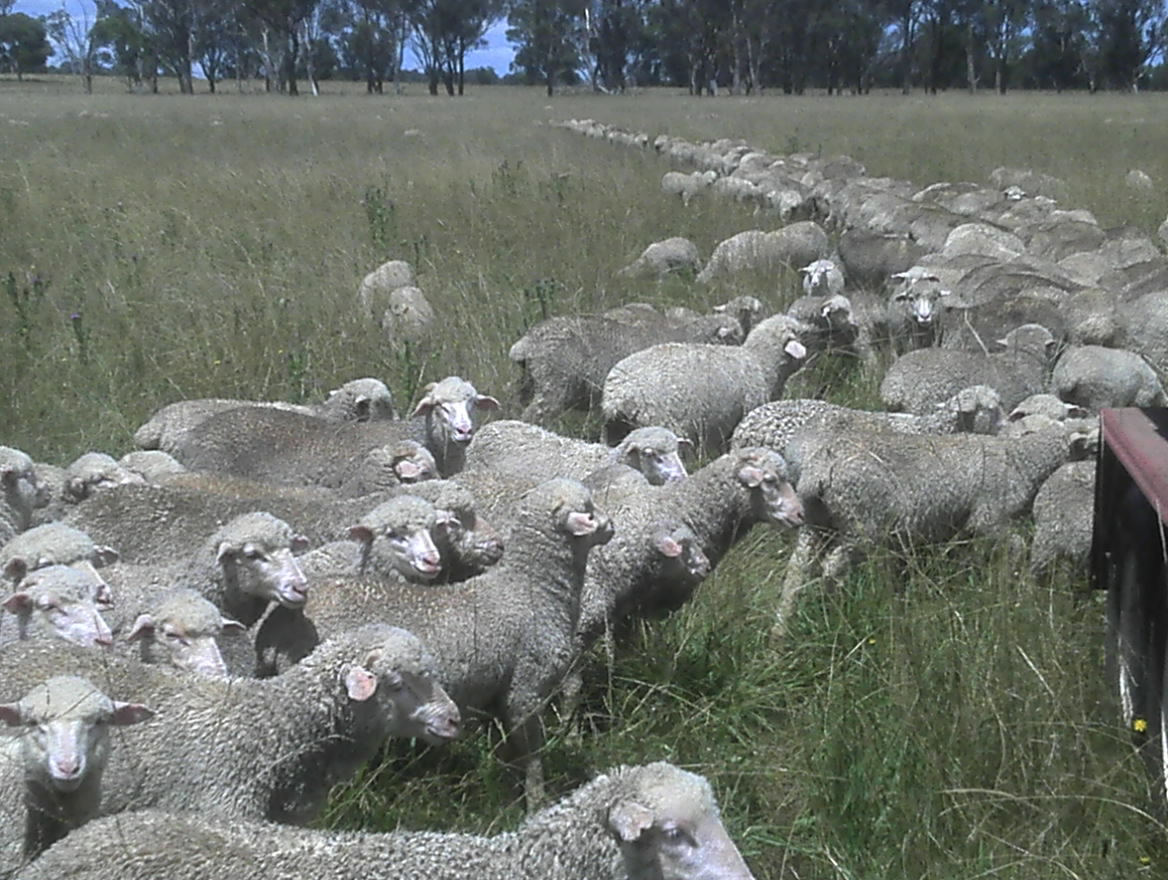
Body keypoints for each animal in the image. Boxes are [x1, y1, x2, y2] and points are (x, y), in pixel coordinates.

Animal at [256, 478, 613, 809]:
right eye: (589, 511)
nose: (611, 525)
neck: (529, 586)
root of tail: (274, 628)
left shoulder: (498, 693)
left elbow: (509, 755)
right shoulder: (525, 688)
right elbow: (532, 755)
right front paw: (537, 800)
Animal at [601, 314, 809, 454]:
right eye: (798, 334)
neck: (761, 362)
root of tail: (618, 394)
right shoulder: (747, 409)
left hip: (614, 430)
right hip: (661, 421)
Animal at [773, 418, 1094, 638]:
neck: (1021, 462)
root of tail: (818, 472)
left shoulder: (958, 529)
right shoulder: (988, 516)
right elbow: (1016, 545)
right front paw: (1010, 579)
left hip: (816, 524)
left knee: (796, 573)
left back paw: (781, 633)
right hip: (862, 524)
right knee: (832, 567)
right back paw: (835, 615)